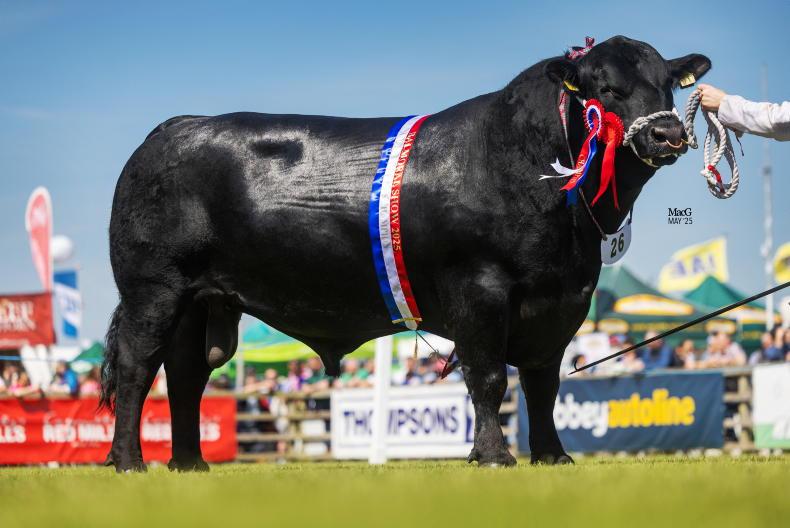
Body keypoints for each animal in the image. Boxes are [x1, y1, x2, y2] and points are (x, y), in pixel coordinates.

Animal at [101, 35, 710, 471]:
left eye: (668, 86)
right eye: (605, 88)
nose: (668, 135)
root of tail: (172, 127)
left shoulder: (562, 300)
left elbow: (542, 385)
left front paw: (552, 455)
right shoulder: (480, 287)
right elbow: (490, 377)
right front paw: (494, 456)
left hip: (202, 301)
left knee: (184, 375)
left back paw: (189, 464)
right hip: (153, 288)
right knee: (137, 366)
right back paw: (130, 463)